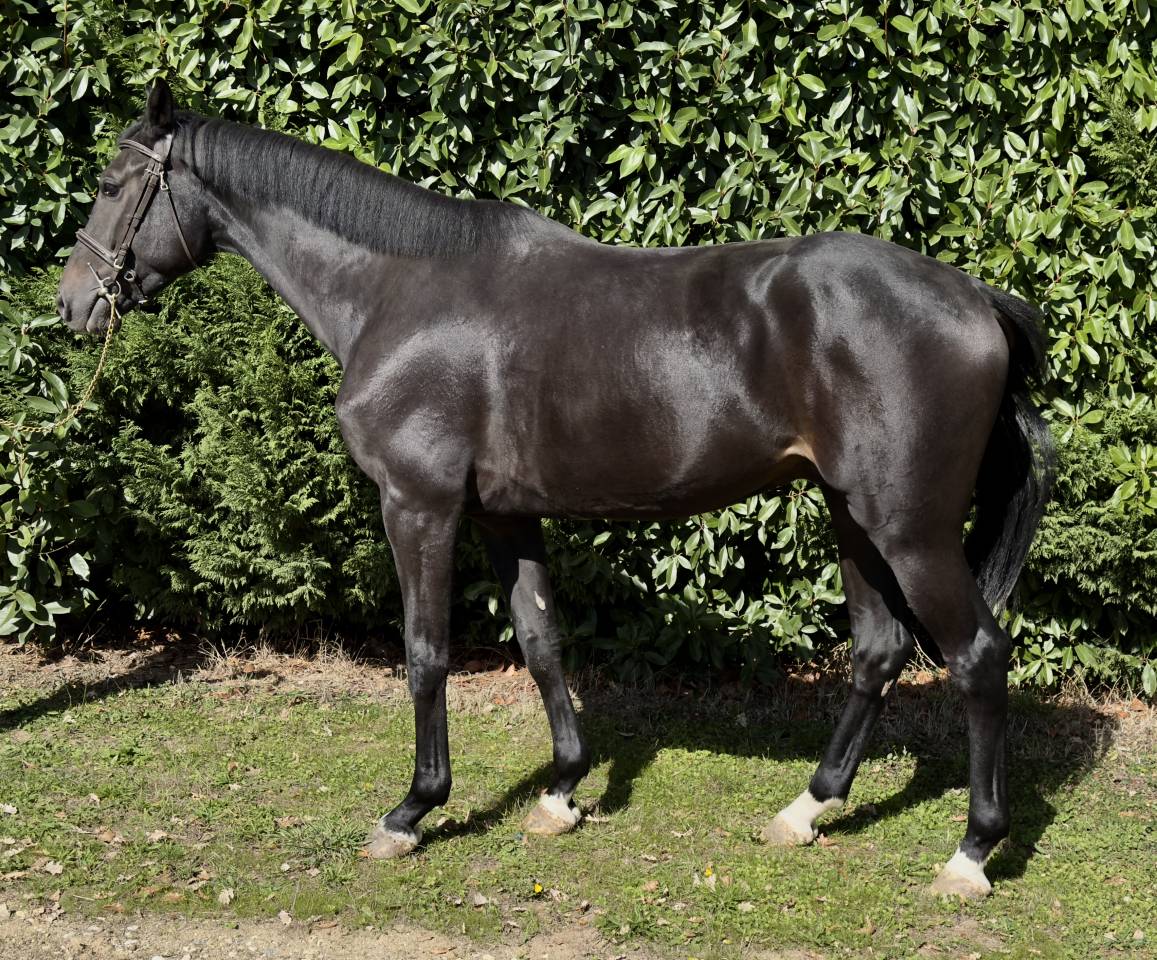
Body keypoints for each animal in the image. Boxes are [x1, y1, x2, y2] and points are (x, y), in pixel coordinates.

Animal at [57, 80, 1054, 899]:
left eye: (109, 183)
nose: (72, 304)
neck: (397, 292)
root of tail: (974, 297)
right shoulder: (506, 515)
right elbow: (540, 641)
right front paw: (562, 792)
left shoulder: (418, 505)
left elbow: (426, 653)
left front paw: (411, 812)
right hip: (854, 517)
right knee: (878, 652)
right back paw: (805, 810)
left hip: (909, 528)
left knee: (975, 656)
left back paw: (970, 853)